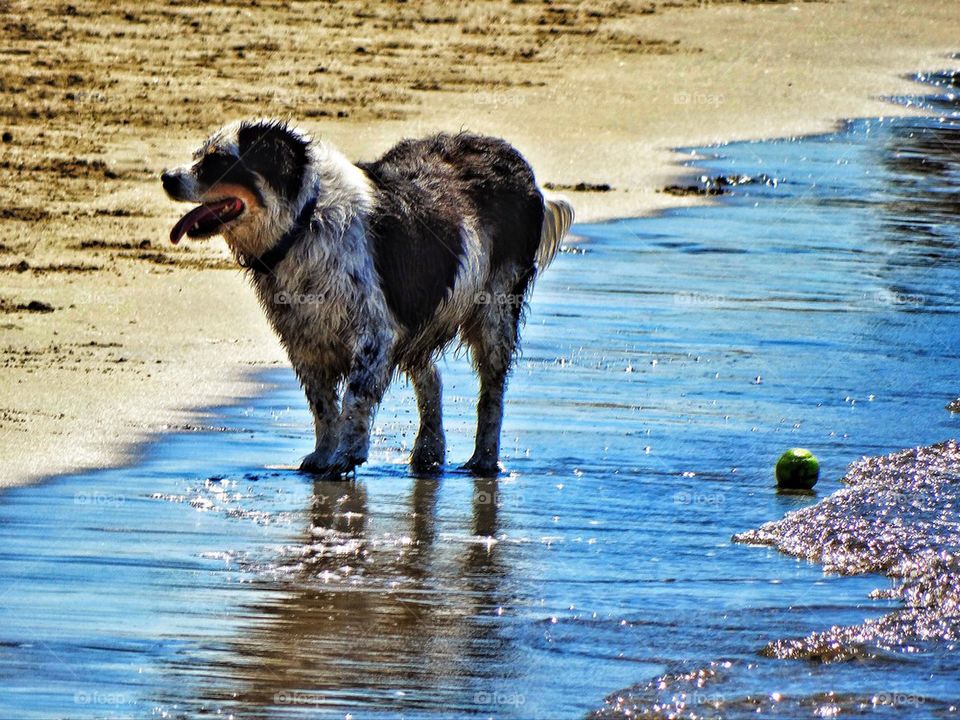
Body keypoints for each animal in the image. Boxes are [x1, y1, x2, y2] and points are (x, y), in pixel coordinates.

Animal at [161, 119, 572, 478]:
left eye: (218, 160)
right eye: (199, 154)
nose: (166, 177)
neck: (304, 223)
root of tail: (517, 161)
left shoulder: (374, 333)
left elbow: (354, 398)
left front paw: (347, 454)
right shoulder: (305, 338)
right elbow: (323, 405)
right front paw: (324, 454)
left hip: (494, 310)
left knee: (492, 392)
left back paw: (483, 460)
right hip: (417, 312)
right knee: (431, 377)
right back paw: (428, 452)